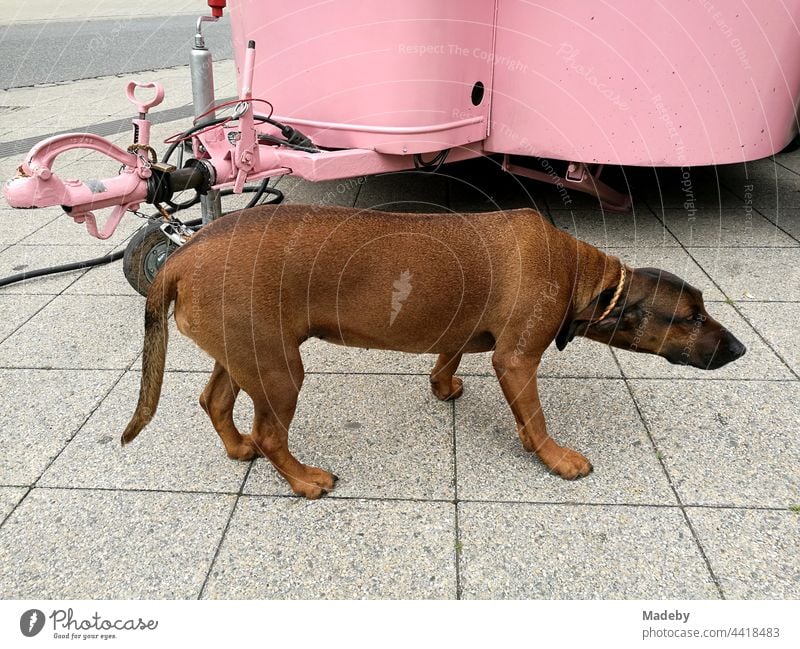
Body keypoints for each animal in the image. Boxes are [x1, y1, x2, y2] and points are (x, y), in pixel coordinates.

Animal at [122, 205, 748, 498]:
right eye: (692, 318)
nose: (740, 347)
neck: (580, 273)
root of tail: (182, 254)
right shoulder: (517, 360)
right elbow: (535, 417)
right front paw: (553, 456)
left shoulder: (464, 335)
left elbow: (449, 356)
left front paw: (444, 385)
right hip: (280, 369)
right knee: (272, 433)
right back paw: (303, 480)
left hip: (247, 352)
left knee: (215, 401)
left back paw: (237, 448)